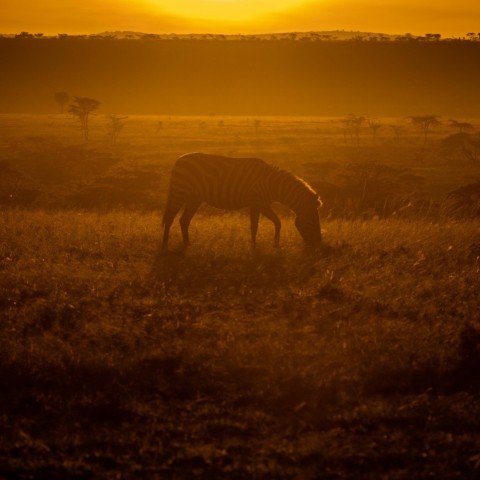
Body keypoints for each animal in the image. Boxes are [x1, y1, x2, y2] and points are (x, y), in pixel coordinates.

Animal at [162, 153, 322, 251]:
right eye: (314, 221)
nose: (318, 245)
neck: (273, 186)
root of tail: (179, 159)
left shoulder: (263, 204)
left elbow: (277, 222)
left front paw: (276, 245)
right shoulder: (255, 202)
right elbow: (254, 227)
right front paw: (254, 247)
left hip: (194, 198)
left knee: (184, 220)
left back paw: (188, 245)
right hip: (180, 191)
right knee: (170, 218)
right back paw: (165, 245)